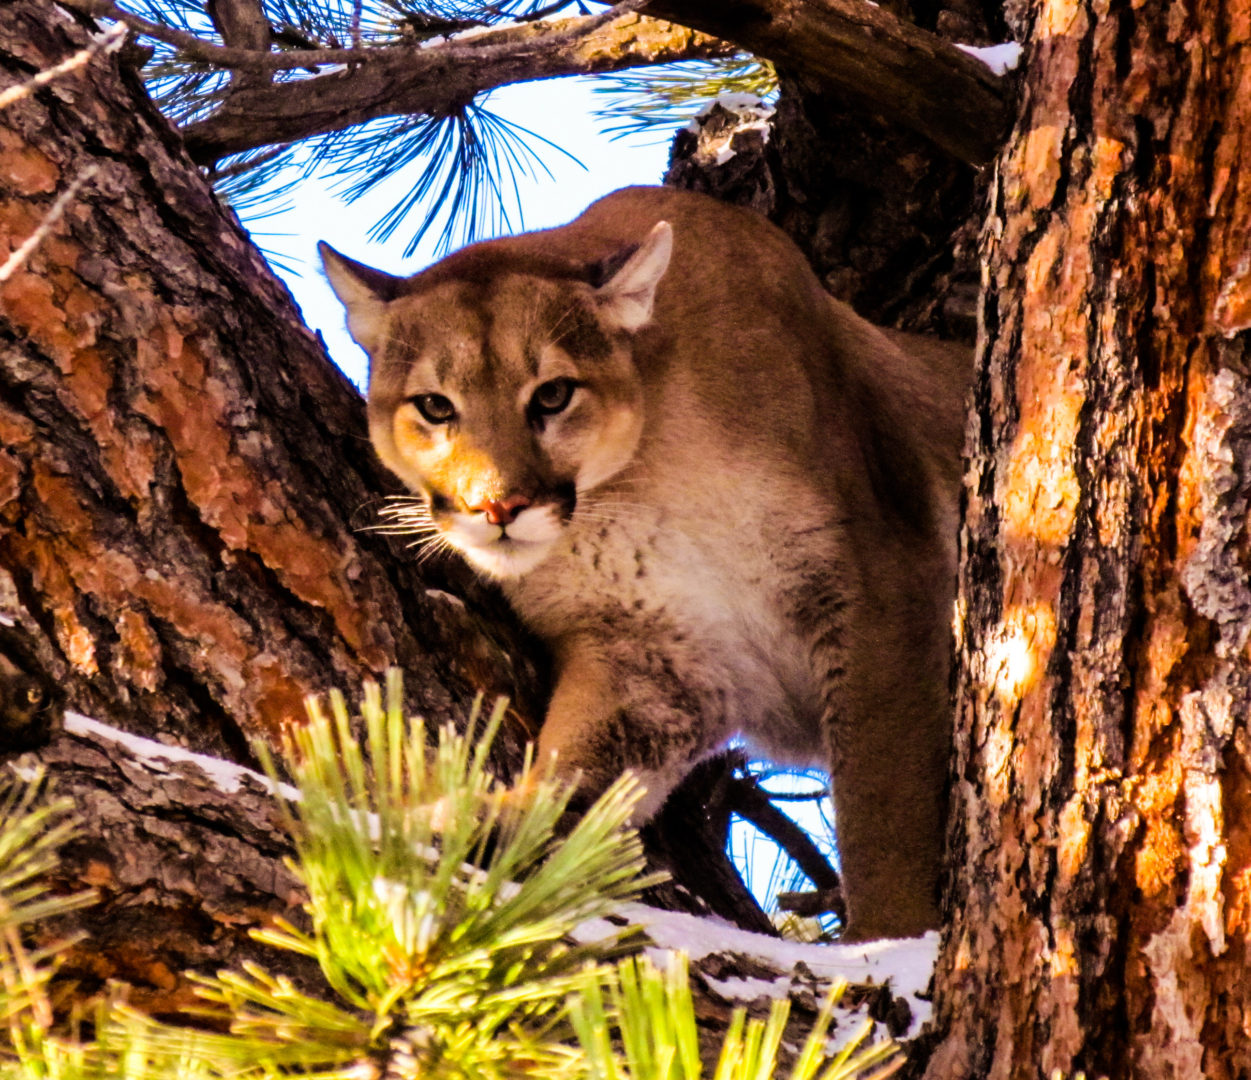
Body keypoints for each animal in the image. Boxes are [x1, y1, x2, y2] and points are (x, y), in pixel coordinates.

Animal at [320, 185, 965, 936]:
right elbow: (577, 772)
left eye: (552, 394)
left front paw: (894, 945)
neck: (641, 481)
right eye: (434, 407)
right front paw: (483, 822)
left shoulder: (876, 586)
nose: (498, 507)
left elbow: (883, 815)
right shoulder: (647, 655)